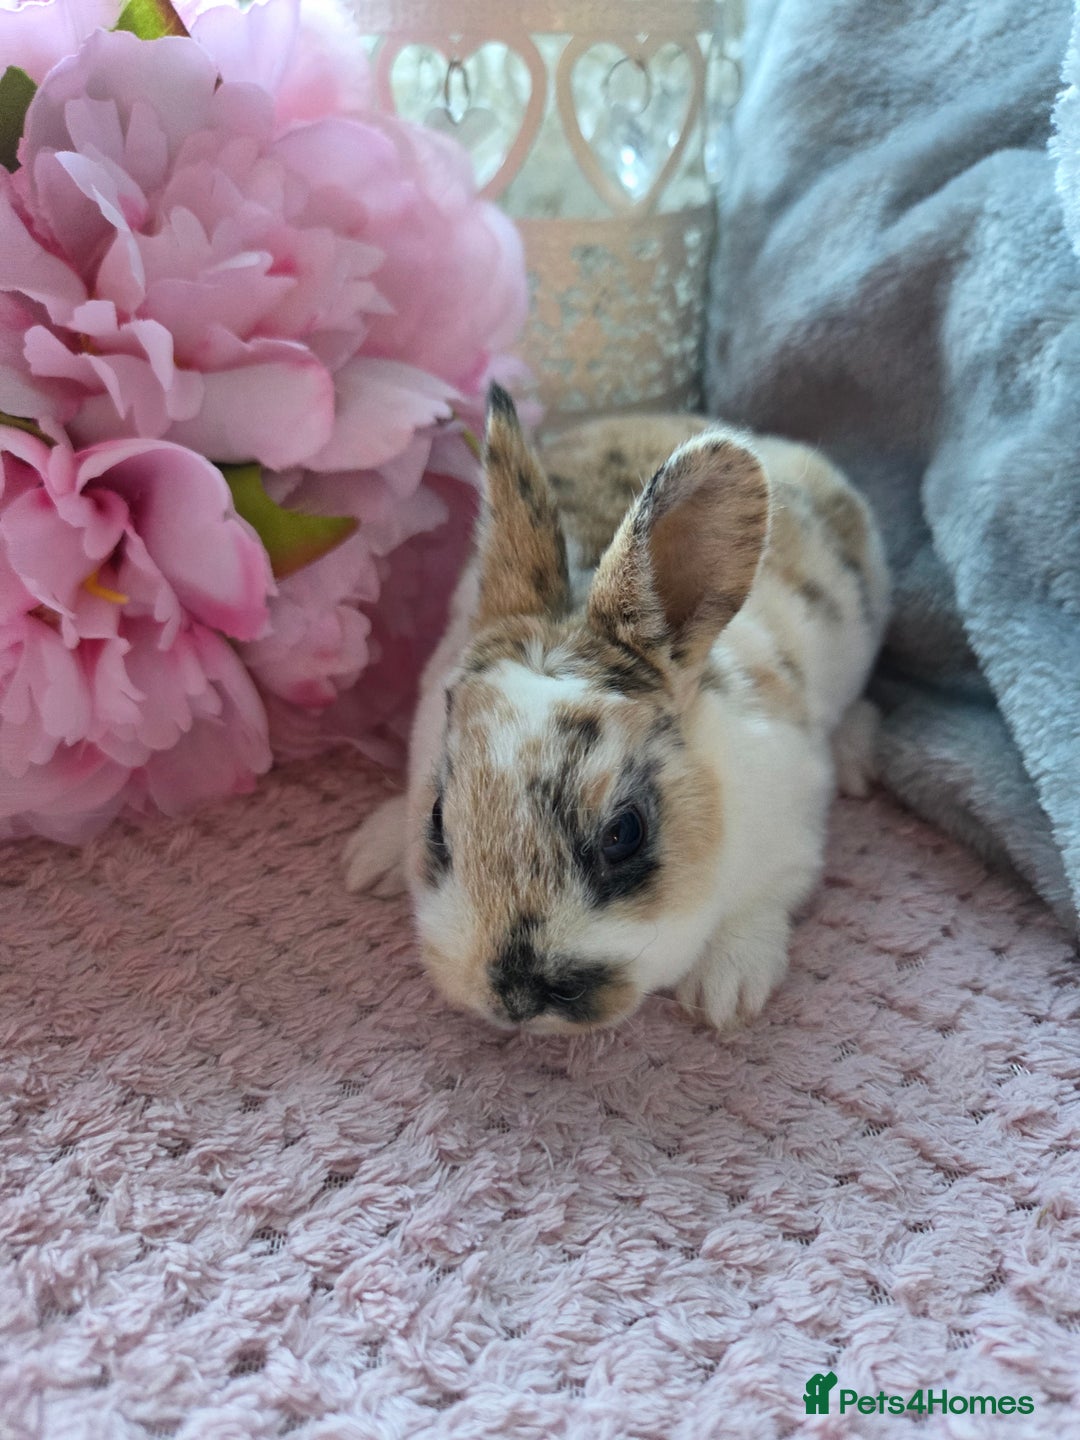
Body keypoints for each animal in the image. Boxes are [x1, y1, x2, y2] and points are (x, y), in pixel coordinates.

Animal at [343, 387, 890, 1034]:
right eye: (435, 818)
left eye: (625, 832)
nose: (516, 1000)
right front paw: (370, 856)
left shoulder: (793, 830)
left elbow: (762, 903)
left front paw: (724, 992)